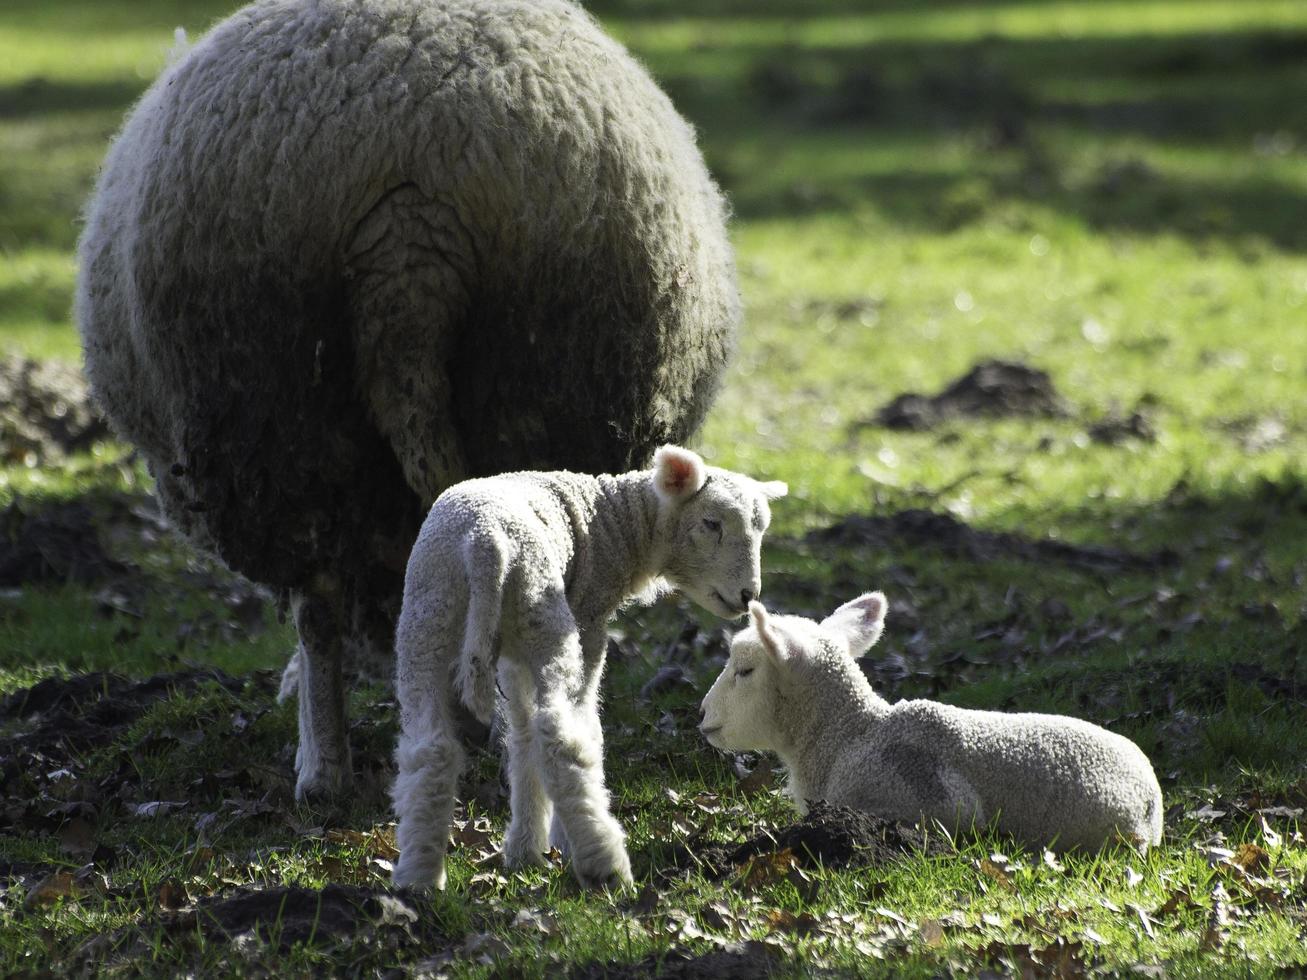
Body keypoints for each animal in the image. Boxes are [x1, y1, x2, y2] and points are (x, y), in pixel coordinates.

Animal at [389, 449, 784, 893]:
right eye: (712, 523)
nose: (749, 596)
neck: (617, 523)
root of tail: (483, 545)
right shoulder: (589, 620)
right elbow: (583, 728)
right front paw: (558, 842)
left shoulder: (514, 658)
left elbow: (521, 740)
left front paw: (525, 850)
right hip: (545, 617)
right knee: (560, 738)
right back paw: (603, 863)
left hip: (431, 620)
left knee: (431, 747)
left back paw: (418, 877)